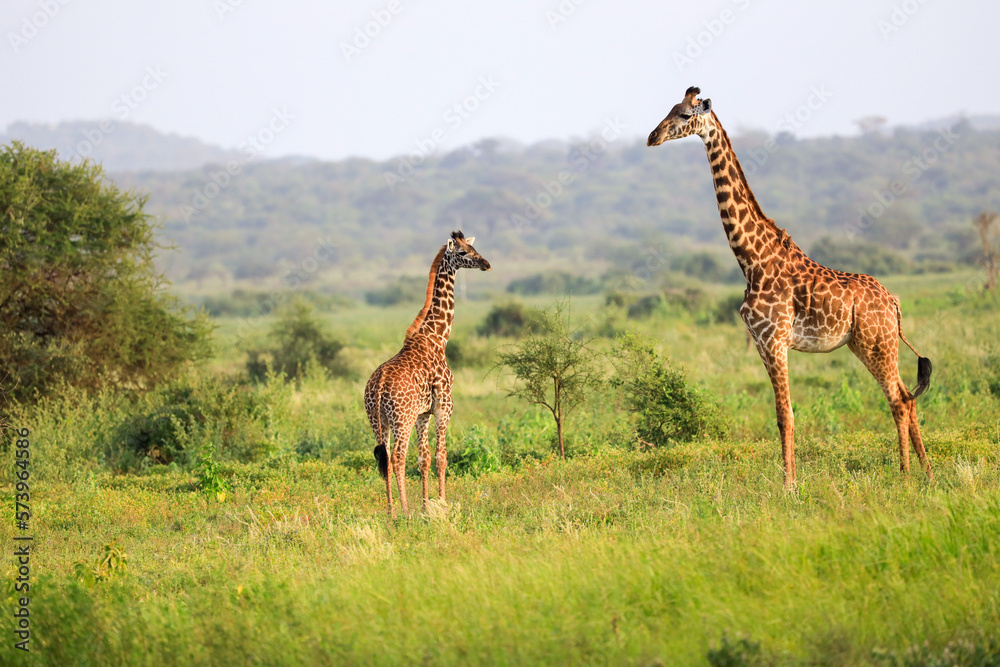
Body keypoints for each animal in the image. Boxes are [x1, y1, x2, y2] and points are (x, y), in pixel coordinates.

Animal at [364, 230, 491, 517]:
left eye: (474, 248)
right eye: (463, 253)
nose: (486, 264)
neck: (437, 336)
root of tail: (378, 386)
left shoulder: (423, 413)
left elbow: (423, 459)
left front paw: (426, 506)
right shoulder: (444, 405)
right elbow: (440, 457)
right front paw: (441, 504)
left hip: (378, 421)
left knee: (384, 458)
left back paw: (390, 511)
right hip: (402, 419)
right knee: (398, 457)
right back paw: (404, 511)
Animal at [647, 87, 933, 486]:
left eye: (687, 115)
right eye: (671, 108)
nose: (652, 137)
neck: (752, 260)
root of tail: (893, 301)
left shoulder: (775, 339)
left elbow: (786, 416)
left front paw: (789, 487)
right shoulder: (761, 342)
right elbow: (781, 414)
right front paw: (790, 481)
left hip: (877, 342)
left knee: (899, 398)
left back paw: (906, 475)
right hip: (865, 344)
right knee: (907, 395)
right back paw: (926, 472)